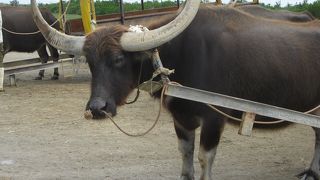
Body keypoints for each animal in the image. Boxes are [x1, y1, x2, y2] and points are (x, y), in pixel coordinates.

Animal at [31, 0, 320, 179]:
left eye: (119, 59)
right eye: (90, 62)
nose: (97, 108)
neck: (180, 56)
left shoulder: (214, 119)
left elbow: (204, 159)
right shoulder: (182, 119)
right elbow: (185, 155)